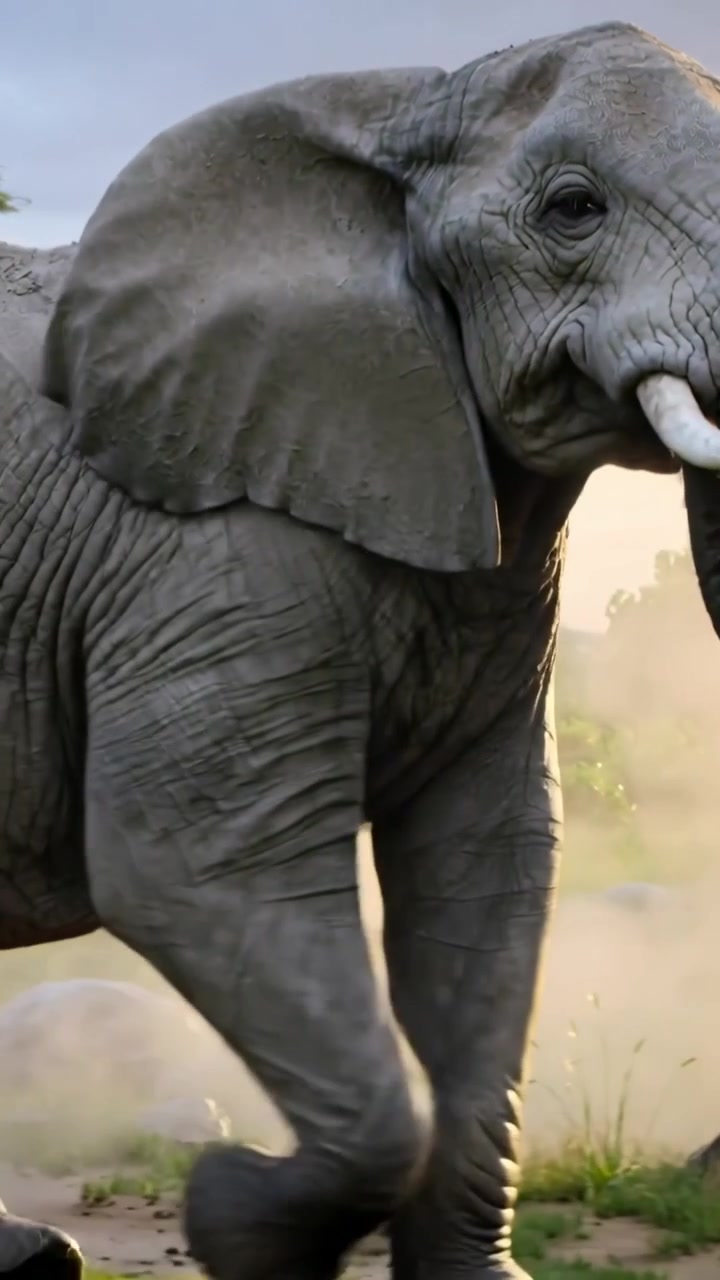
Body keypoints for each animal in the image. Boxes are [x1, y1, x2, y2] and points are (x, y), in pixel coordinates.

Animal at [3, 16, 720, 1280]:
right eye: (573, 209)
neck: (397, 119)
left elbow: (488, 865)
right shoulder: (208, 543)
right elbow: (194, 863)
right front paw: (232, 1214)